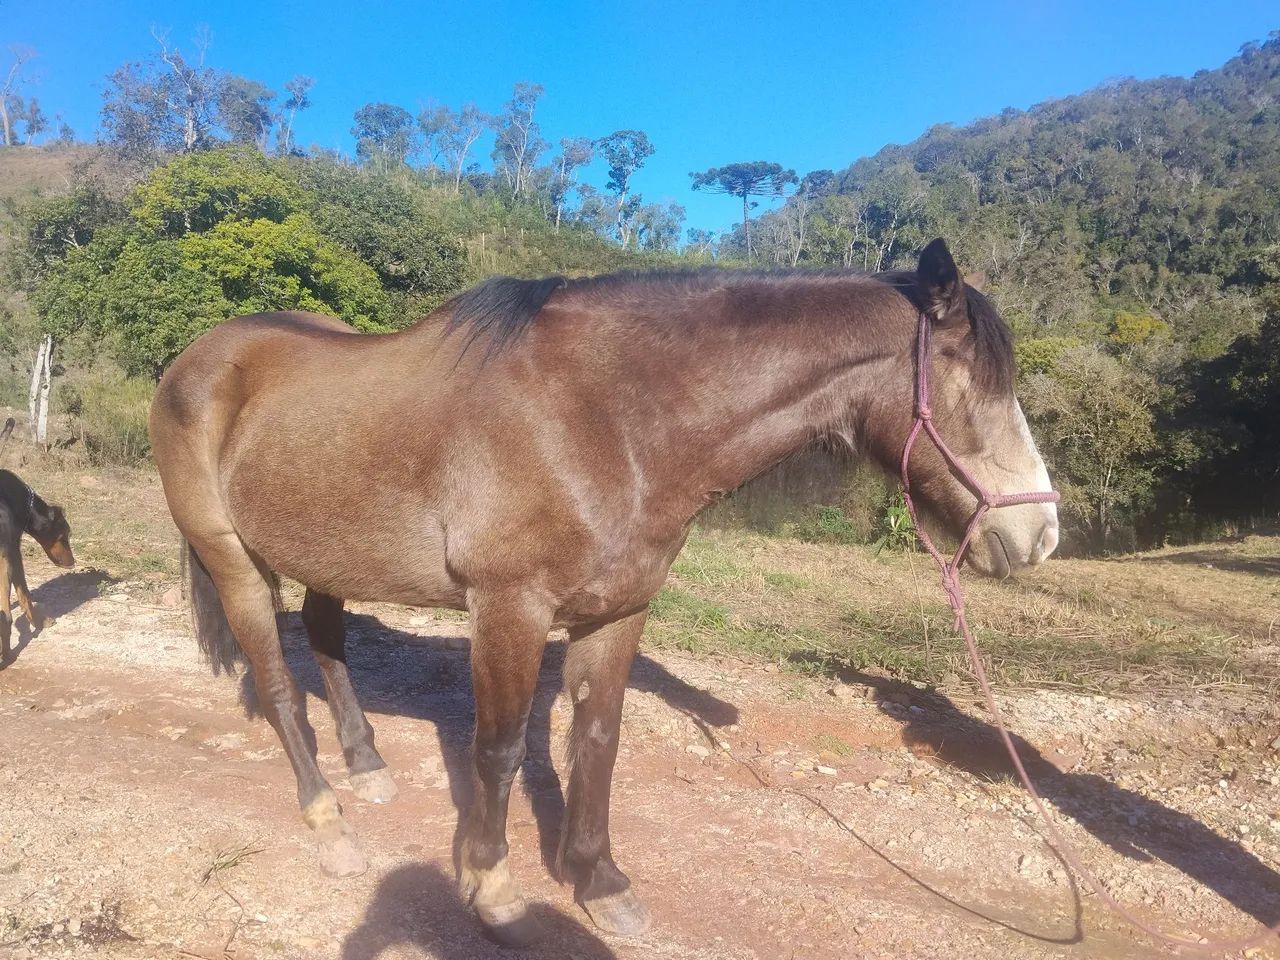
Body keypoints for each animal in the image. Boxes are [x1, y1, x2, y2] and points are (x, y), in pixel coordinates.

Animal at [148, 237, 1058, 945]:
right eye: (973, 382)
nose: (1041, 534)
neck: (607, 418)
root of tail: (198, 357)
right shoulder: (509, 611)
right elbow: (499, 749)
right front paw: (493, 889)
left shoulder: (619, 612)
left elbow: (597, 740)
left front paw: (599, 882)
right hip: (234, 561)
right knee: (278, 688)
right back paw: (331, 823)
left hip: (329, 553)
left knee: (327, 641)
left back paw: (367, 765)